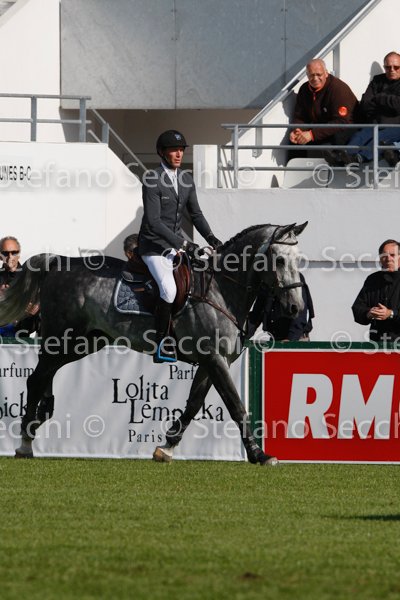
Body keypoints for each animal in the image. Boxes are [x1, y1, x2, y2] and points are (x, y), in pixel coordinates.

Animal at [0, 221, 307, 464]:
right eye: (280, 260)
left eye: (298, 260)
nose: (294, 307)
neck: (222, 289)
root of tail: (58, 261)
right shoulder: (214, 358)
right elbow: (236, 405)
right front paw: (259, 454)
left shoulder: (212, 362)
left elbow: (194, 404)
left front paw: (167, 446)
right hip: (65, 338)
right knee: (36, 378)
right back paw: (25, 441)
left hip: (84, 341)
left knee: (46, 373)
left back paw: (41, 416)